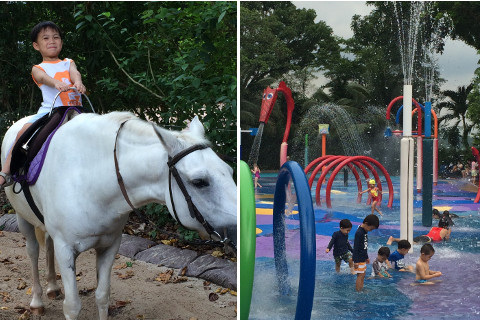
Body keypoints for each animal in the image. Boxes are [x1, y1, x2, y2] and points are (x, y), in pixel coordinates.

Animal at [0, 111, 237, 318]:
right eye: (200, 182)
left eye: (230, 171)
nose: (238, 230)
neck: (91, 180)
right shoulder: (65, 249)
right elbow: (73, 306)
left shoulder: (109, 246)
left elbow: (102, 296)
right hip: (22, 218)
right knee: (33, 252)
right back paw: (37, 301)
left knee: (47, 245)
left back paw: (52, 287)